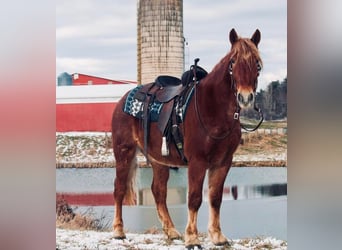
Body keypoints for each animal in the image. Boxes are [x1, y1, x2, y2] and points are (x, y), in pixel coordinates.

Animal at [111, 28, 264, 247]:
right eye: (233, 62)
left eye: (257, 63)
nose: (245, 97)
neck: (213, 108)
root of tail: (123, 100)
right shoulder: (197, 162)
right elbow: (194, 198)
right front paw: (192, 238)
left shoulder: (224, 162)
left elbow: (215, 198)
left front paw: (217, 236)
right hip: (124, 152)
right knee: (119, 189)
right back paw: (118, 231)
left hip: (159, 160)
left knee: (158, 191)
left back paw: (171, 231)